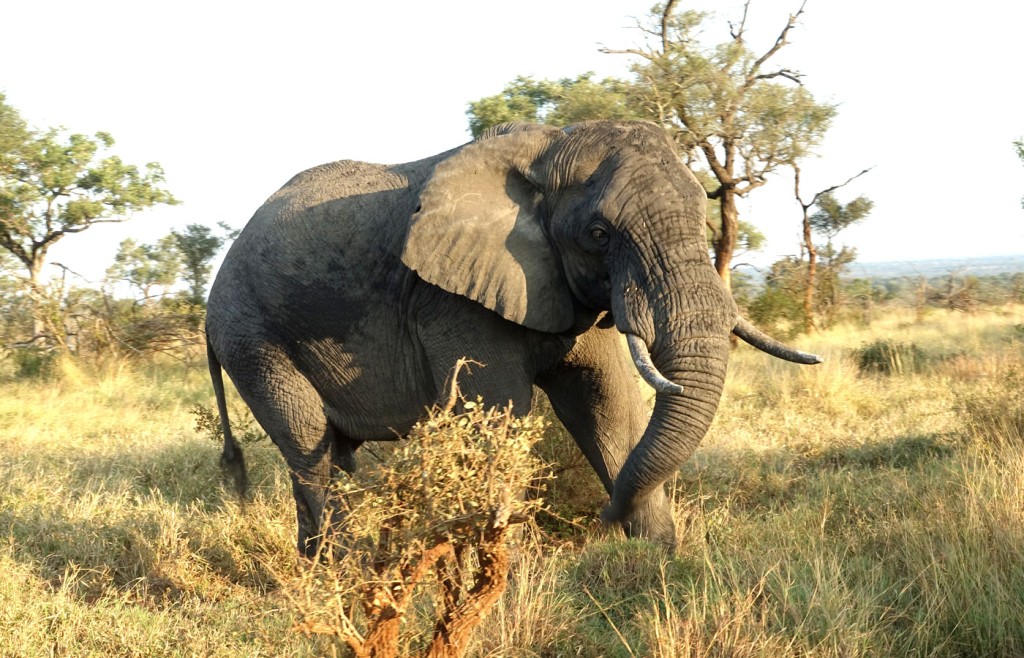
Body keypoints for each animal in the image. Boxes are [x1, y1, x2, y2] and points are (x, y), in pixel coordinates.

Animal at [203, 119, 819, 556]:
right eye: (599, 234)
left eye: (701, 211)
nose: (601, 519)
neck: (546, 153)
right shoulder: (452, 298)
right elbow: (499, 414)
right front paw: (509, 577)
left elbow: (608, 404)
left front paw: (660, 563)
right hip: (251, 336)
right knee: (307, 444)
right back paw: (342, 572)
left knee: (326, 452)